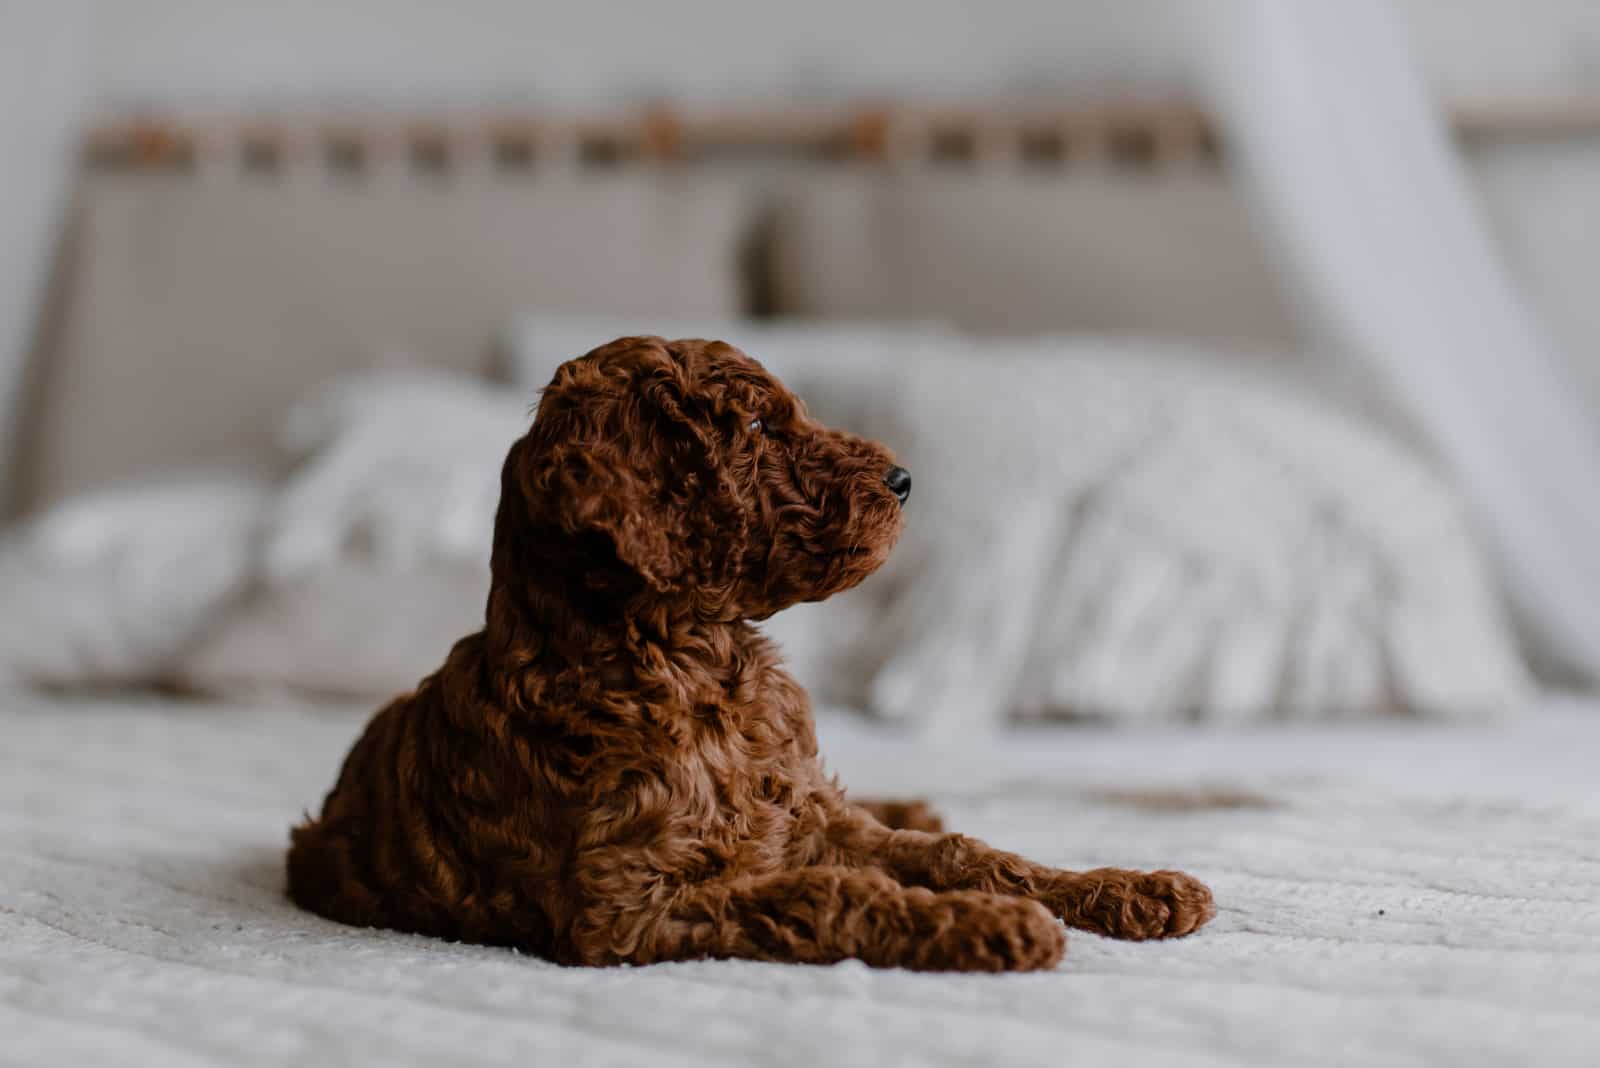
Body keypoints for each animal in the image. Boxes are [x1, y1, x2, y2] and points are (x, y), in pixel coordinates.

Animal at [288, 335, 1209, 965]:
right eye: (762, 424)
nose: (905, 480)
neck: (694, 664)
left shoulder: (810, 816)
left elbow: (964, 854)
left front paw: (1131, 889)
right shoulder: (629, 905)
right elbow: (828, 894)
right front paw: (995, 926)